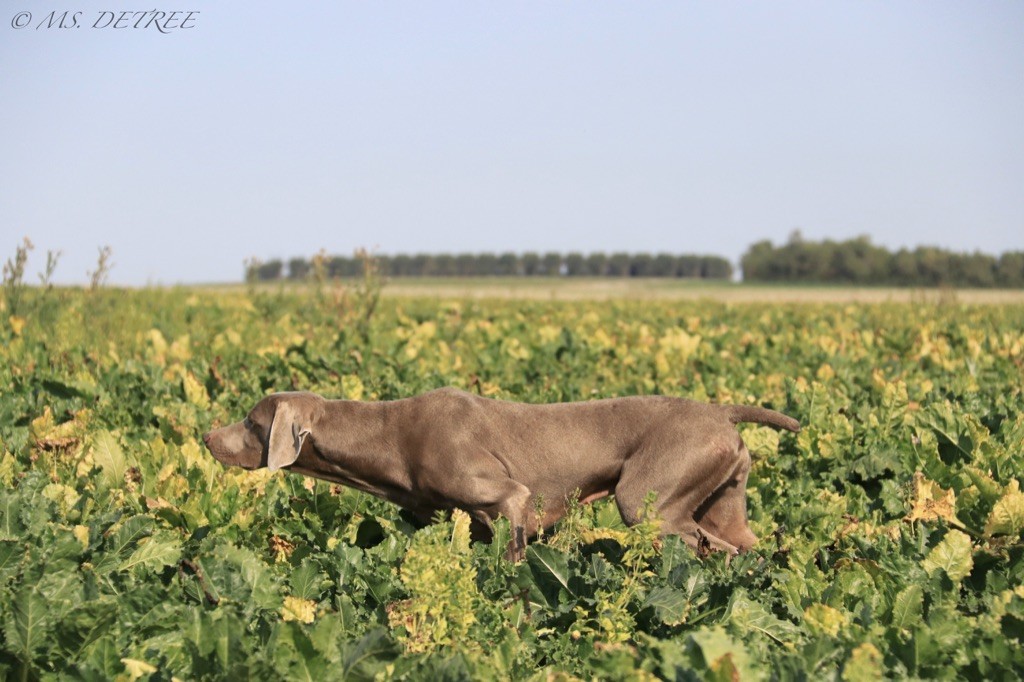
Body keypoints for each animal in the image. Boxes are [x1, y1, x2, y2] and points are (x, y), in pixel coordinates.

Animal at [203, 387, 798, 557]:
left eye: (252, 422)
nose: (206, 437)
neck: (391, 435)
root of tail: (721, 412)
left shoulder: (511, 497)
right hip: (723, 502)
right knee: (747, 546)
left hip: (646, 500)